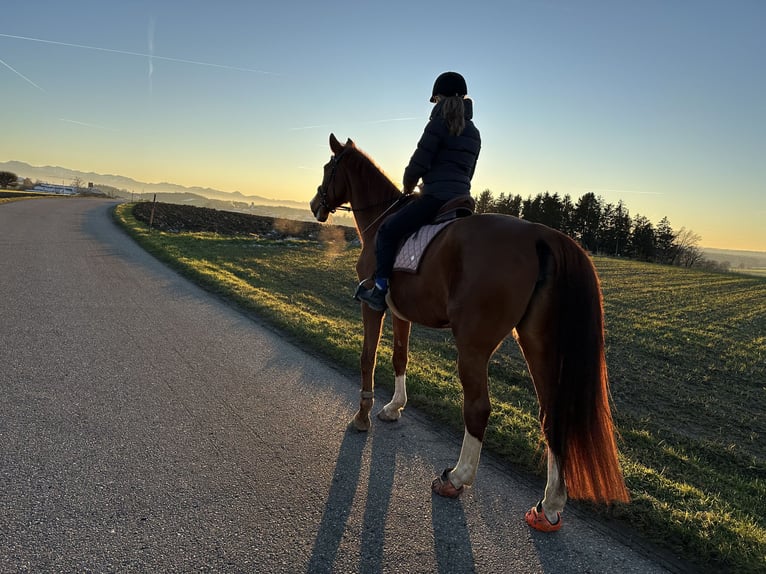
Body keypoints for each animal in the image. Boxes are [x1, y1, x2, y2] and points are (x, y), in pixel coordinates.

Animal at [309, 134, 629, 531]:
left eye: (328, 167)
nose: (314, 205)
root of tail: (541, 234)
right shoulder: (400, 313)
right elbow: (400, 356)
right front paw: (394, 407)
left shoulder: (373, 305)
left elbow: (367, 356)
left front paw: (362, 416)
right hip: (539, 344)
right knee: (551, 415)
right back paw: (549, 505)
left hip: (474, 345)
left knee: (478, 408)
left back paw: (457, 478)